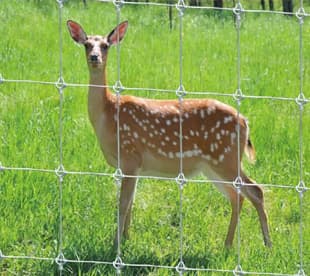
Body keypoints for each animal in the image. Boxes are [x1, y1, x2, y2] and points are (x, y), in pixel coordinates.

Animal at [67, 20, 272, 248]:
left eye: (105, 45)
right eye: (87, 44)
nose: (95, 57)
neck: (108, 113)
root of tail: (245, 121)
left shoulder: (130, 156)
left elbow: (122, 205)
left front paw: (116, 245)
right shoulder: (135, 166)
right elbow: (131, 203)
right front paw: (127, 238)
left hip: (225, 157)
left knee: (255, 190)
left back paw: (267, 244)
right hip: (212, 165)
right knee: (237, 196)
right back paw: (227, 245)